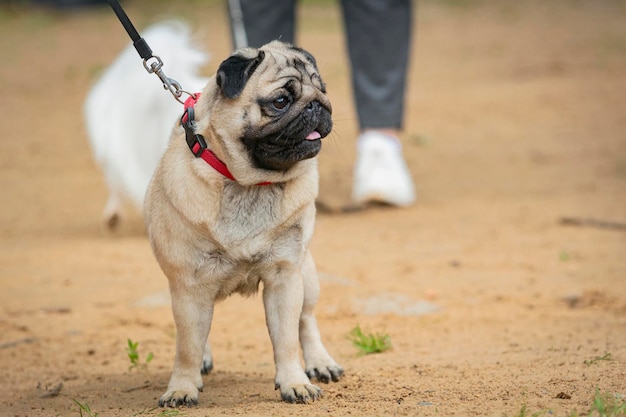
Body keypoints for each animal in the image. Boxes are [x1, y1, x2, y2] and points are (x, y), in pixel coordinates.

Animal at [143, 39, 342, 406]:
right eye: (280, 101)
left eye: (322, 89)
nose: (317, 105)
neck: (250, 184)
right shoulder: (188, 286)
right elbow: (187, 346)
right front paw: (182, 387)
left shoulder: (284, 277)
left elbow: (287, 339)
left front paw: (294, 382)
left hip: (306, 274)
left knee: (306, 321)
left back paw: (320, 363)